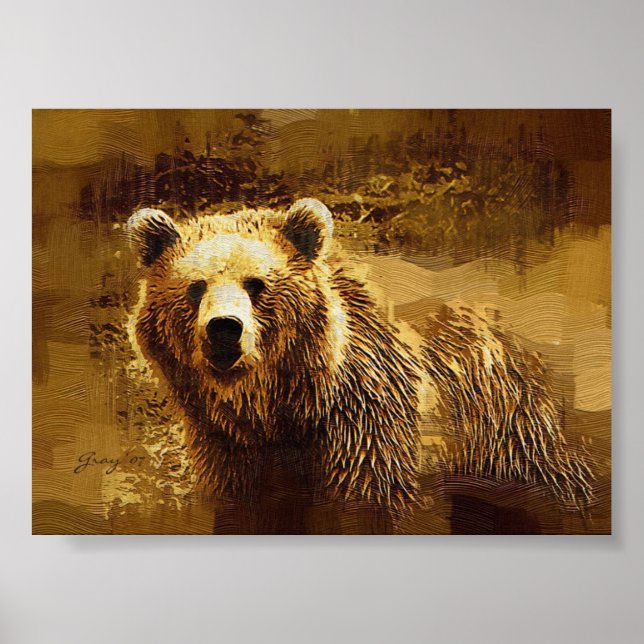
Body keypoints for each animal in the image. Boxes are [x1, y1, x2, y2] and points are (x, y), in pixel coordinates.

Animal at [127, 198, 593, 534]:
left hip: (507, 423)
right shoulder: (230, 448)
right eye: (195, 286)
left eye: (256, 284)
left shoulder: (365, 417)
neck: (283, 408)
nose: (224, 328)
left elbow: (369, 500)